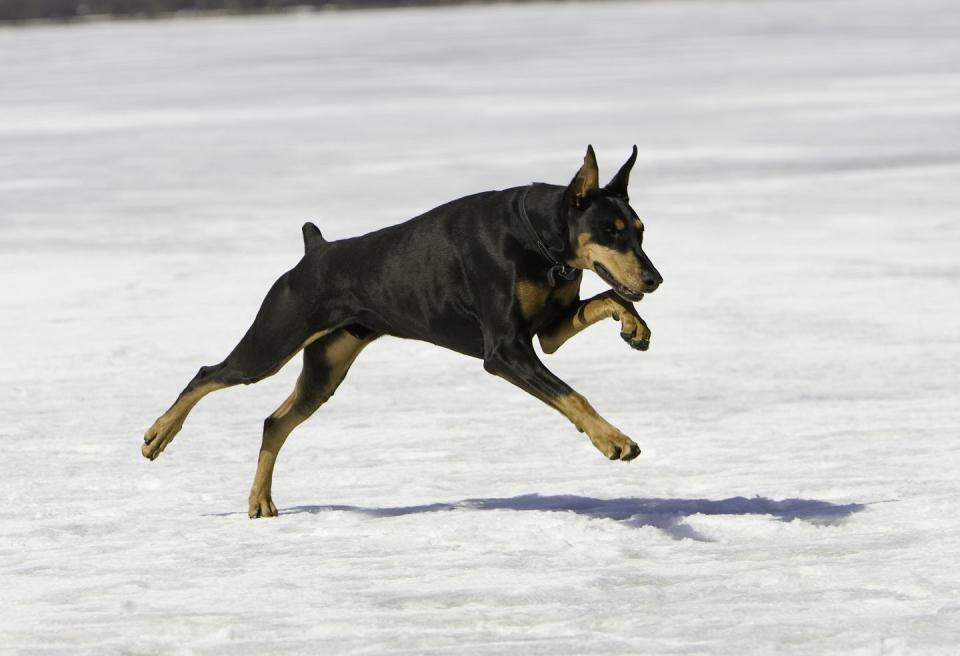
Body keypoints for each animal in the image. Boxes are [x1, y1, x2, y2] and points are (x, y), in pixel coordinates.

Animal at [142, 147, 664, 516]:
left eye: (640, 229)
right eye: (613, 231)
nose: (654, 279)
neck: (538, 237)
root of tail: (315, 251)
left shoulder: (548, 333)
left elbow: (608, 299)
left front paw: (635, 328)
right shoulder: (505, 351)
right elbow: (572, 394)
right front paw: (614, 440)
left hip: (325, 370)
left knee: (274, 421)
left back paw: (260, 501)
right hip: (272, 341)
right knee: (208, 373)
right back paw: (159, 435)